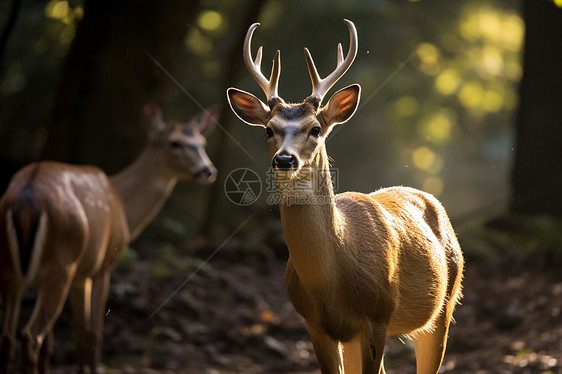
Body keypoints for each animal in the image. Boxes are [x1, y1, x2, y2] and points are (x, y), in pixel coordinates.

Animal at [0, 103, 217, 374]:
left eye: (202, 141)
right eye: (174, 143)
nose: (208, 170)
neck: (121, 203)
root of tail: (25, 199)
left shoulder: (75, 276)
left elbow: (69, 338)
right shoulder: (101, 266)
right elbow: (93, 333)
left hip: (13, 269)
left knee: (8, 337)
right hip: (62, 265)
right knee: (30, 335)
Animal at [225, 20, 462, 374]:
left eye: (315, 129)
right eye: (269, 129)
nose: (285, 159)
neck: (332, 284)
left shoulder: (377, 316)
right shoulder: (315, 324)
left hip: (444, 305)